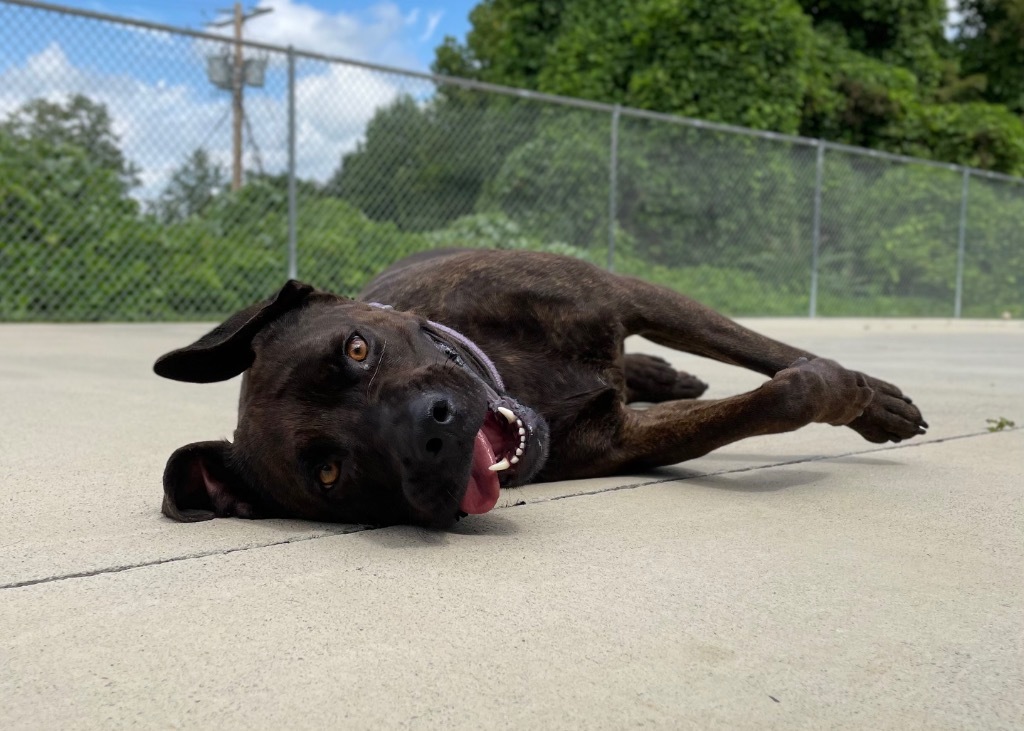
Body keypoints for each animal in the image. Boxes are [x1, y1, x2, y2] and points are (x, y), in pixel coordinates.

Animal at [151, 248, 929, 524]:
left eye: (357, 348)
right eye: (328, 472)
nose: (430, 430)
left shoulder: (626, 294)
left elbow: (769, 352)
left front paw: (871, 397)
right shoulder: (622, 440)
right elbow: (778, 397)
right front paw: (846, 392)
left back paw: (661, 370)